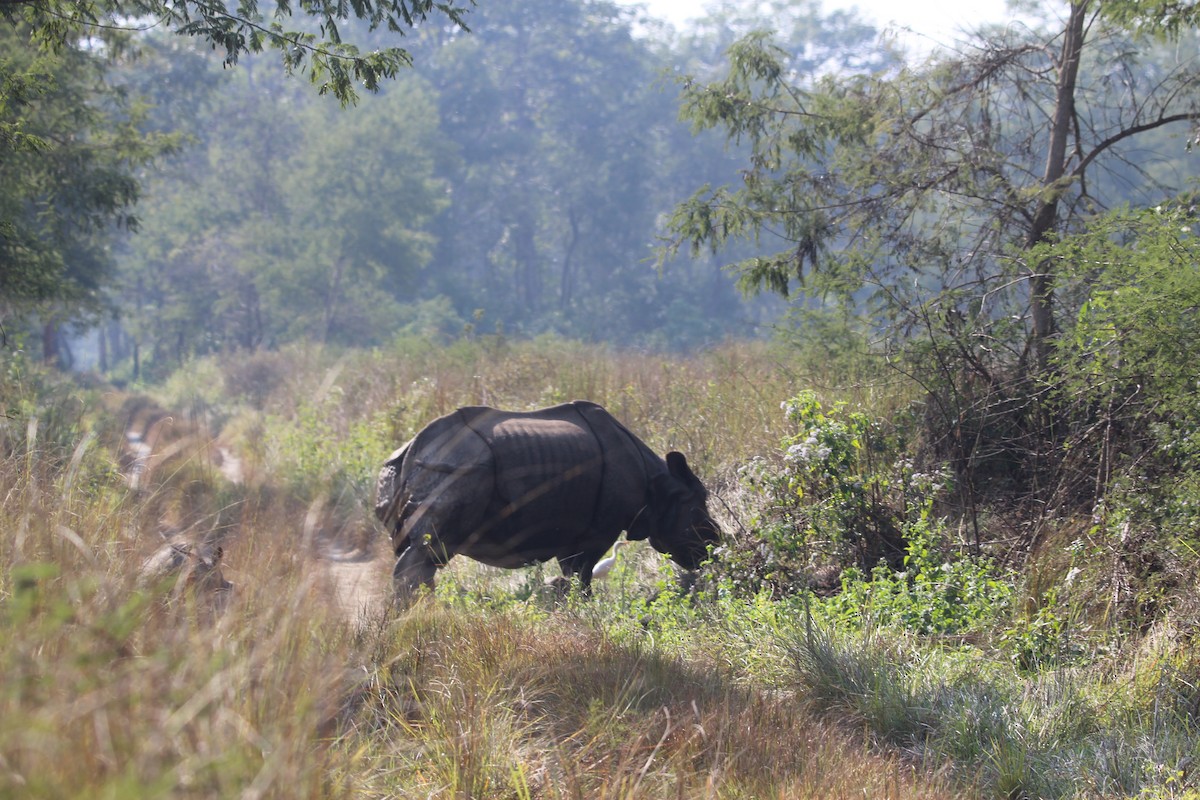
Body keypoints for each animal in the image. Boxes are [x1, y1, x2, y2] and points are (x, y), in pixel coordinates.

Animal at [374, 401, 721, 597]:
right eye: (697, 515)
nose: (715, 546)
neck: (659, 484)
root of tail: (415, 447)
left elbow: (570, 577)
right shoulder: (597, 532)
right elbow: (581, 577)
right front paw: (583, 611)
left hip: (405, 467)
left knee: (413, 551)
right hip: (459, 468)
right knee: (430, 552)